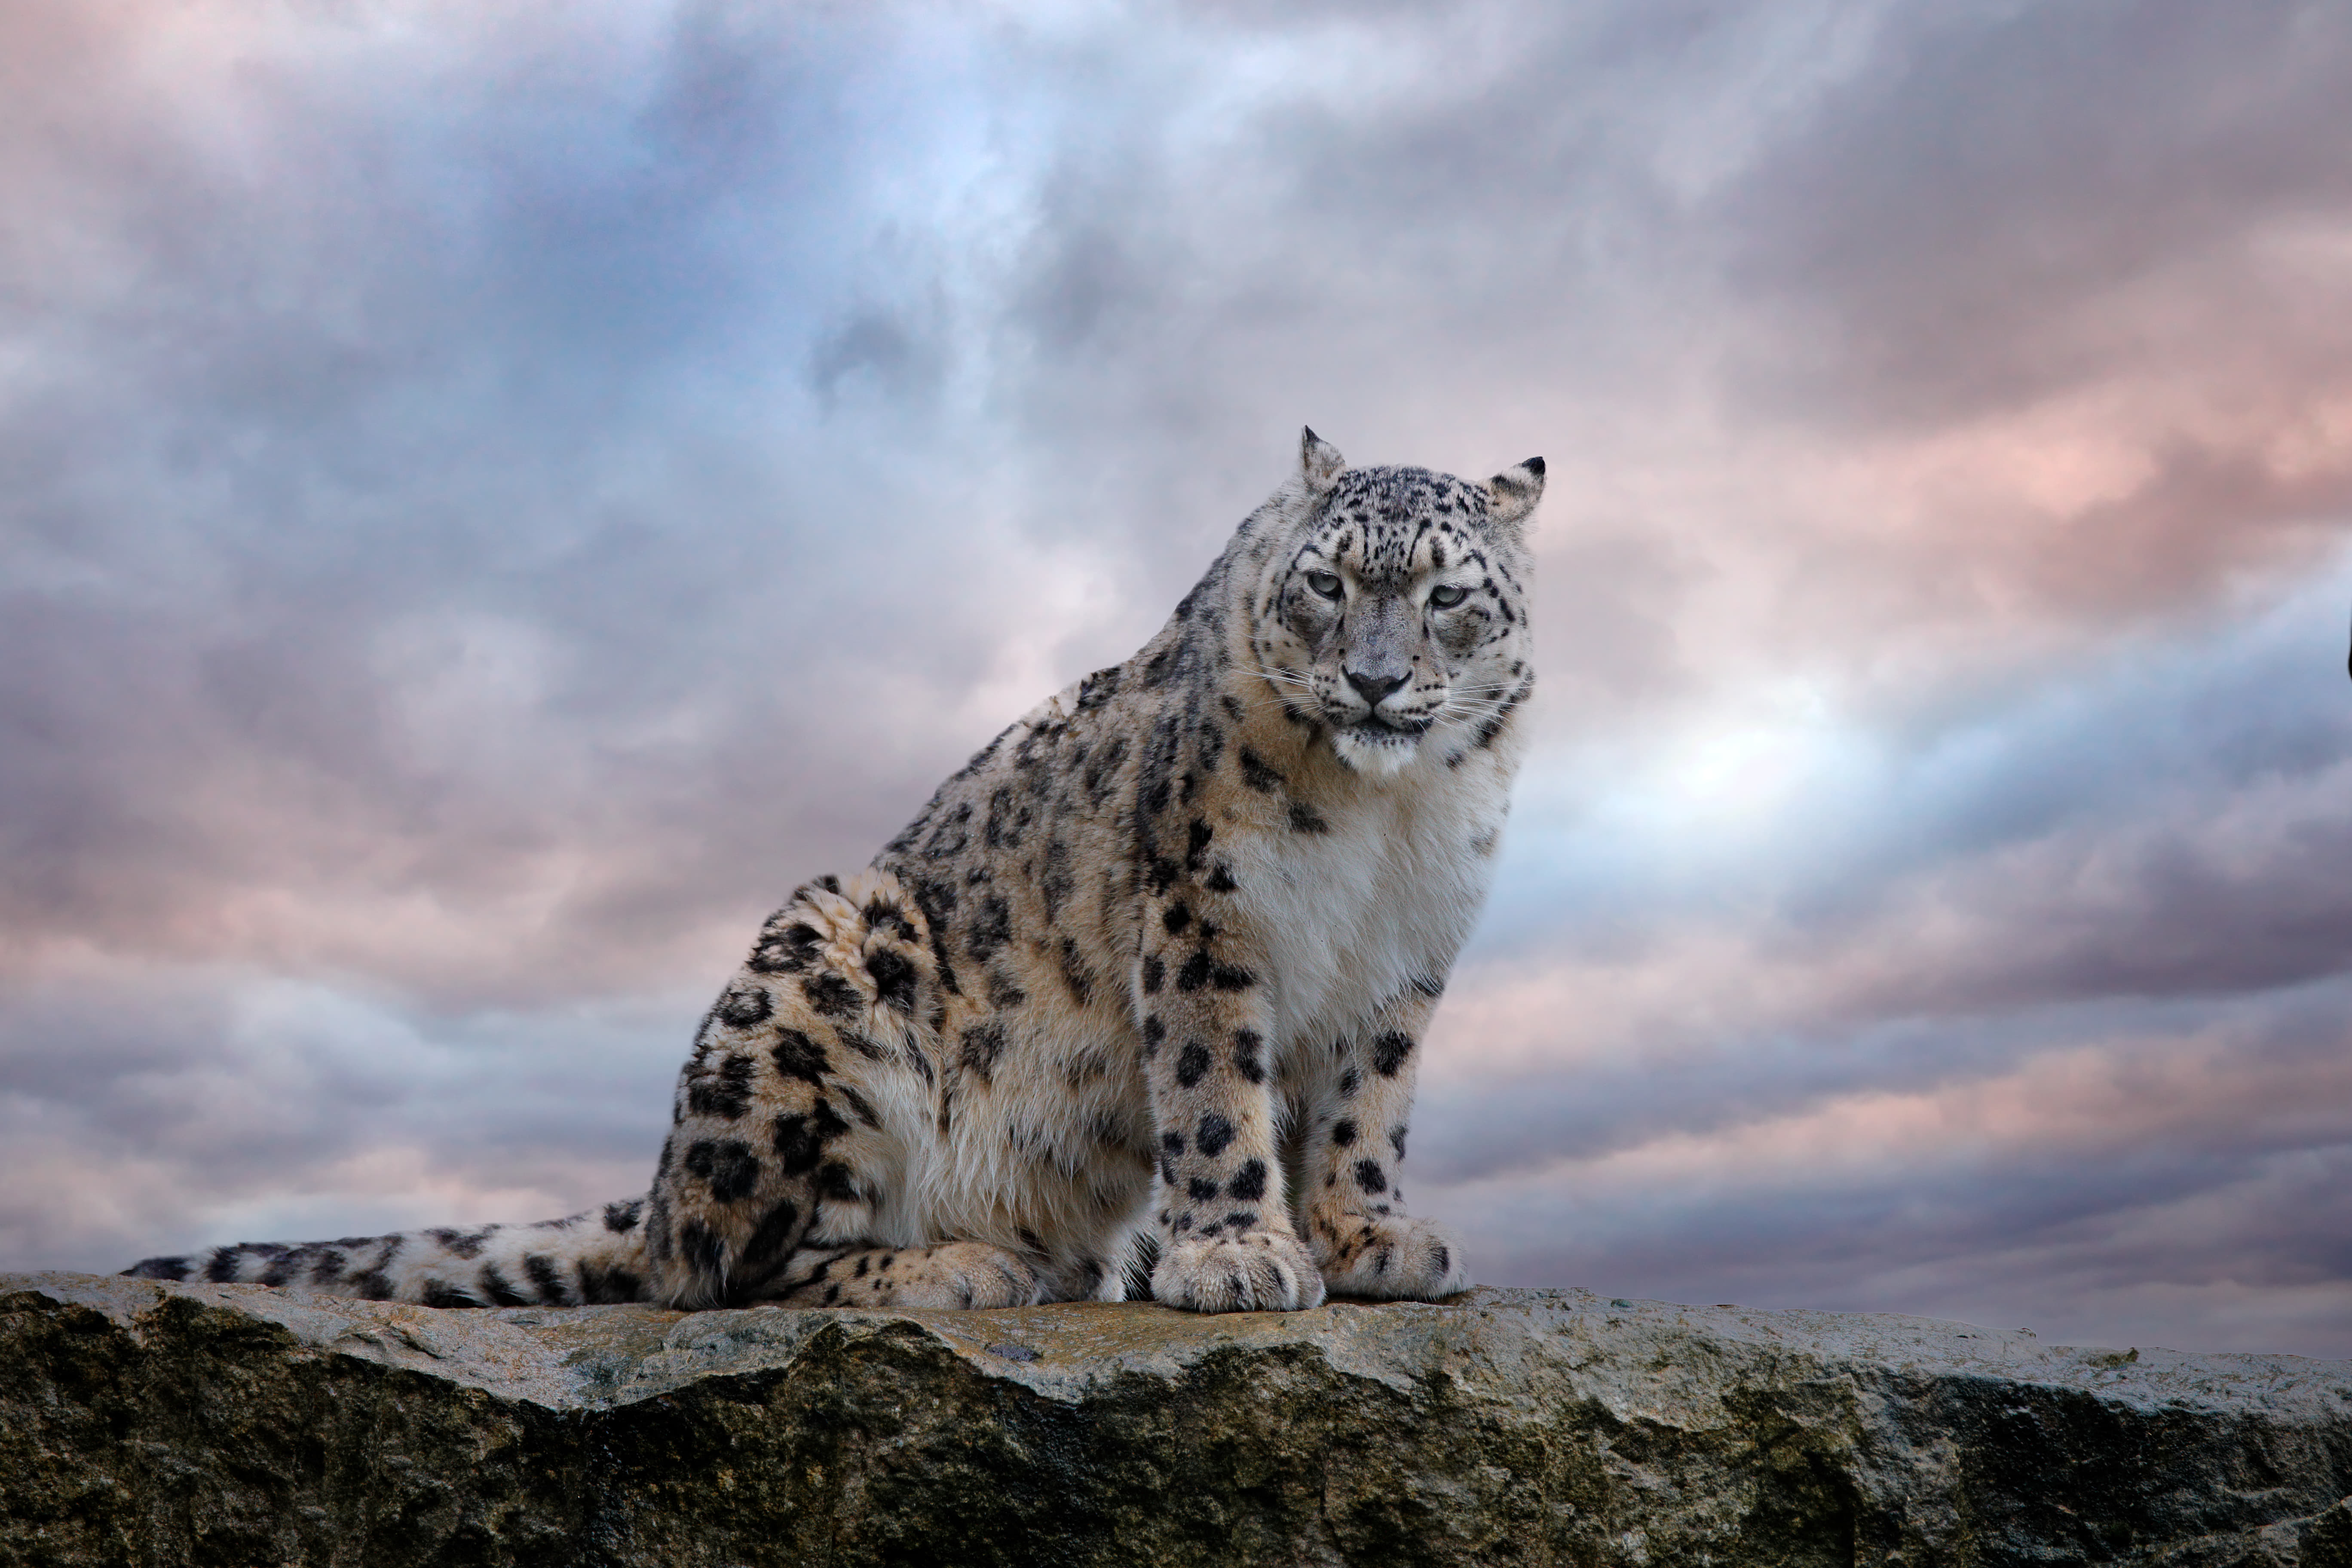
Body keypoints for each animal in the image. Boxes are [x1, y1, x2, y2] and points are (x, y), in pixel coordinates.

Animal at [127, 429, 1543, 1314]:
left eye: (1446, 596)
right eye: (1327, 584)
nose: (1373, 680)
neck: (1388, 820)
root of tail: (662, 1181)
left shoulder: (1403, 961)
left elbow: (1365, 1110)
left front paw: (1369, 1237)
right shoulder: (1205, 913)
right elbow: (1211, 1090)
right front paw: (1239, 1253)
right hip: (816, 992)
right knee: (716, 1269)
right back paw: (954, 1267)